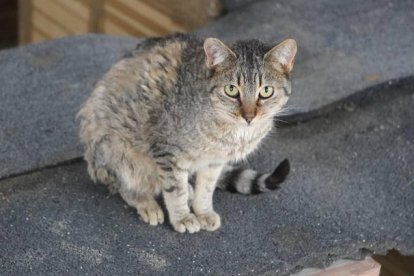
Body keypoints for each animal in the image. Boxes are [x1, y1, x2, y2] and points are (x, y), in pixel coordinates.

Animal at [77, 33, 296, 234]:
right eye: (231, 90)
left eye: (266, 91)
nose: (249, 116)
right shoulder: (167, 151)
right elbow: (175, 190)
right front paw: (182, 217)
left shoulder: (214, 161)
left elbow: (206, 188)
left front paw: (203, 211)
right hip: (116, 149)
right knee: (126, 185)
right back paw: (146, 203)